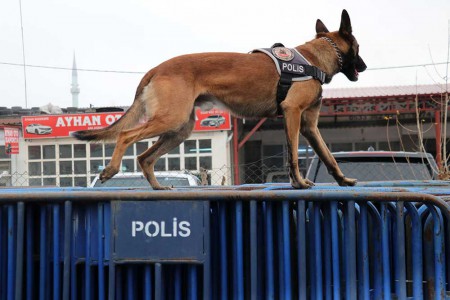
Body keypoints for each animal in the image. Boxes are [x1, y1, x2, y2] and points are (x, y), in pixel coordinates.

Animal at [73, 10, 366, 191]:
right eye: (359, 48)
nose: (363, 67)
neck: (315, 58)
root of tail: (156, 68)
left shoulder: (308, 126)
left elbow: (329, 156)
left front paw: (343, 180)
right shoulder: (292, 114)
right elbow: (294, 154)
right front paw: (299, 183)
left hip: (179, 129)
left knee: (145, 157)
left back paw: (157, 187)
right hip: (171, 120)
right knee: (126, 136)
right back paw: (111, 169)